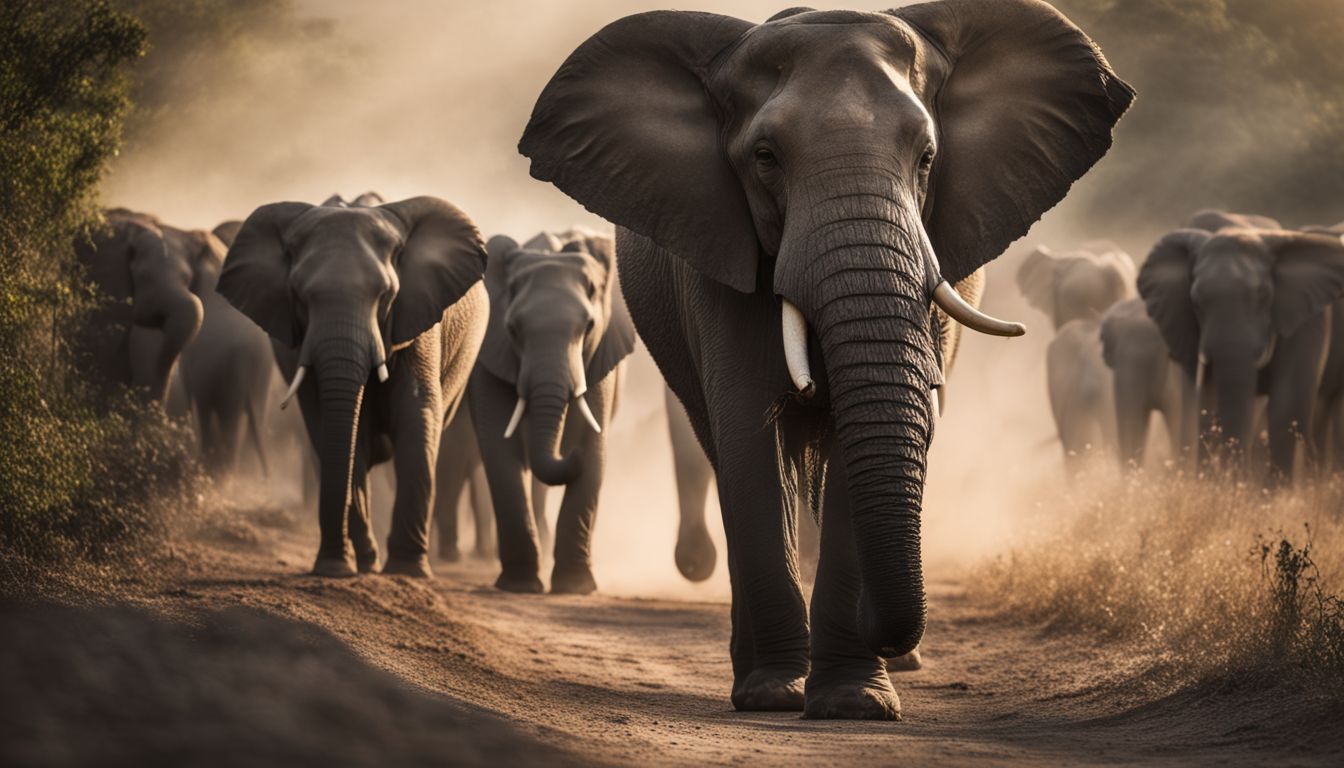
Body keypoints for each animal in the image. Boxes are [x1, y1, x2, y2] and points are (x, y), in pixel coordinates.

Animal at [217, 195, 489, 577]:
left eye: (386, 294)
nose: (330, 565)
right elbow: (339, 430)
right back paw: (366, 562)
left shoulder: (417, 322)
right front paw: (342, 567)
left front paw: (407, 571)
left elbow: (416, 415)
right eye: (298, 297)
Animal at [470, 229, 636, 594]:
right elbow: (500, 452)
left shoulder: (598, 361)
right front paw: (519, 587)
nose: (567, 452)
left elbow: (594, 450)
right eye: (513, 329)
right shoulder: (491, 350)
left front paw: (576, 588)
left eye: (589, 327)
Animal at [520, 1, 1131, 719]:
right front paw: (775, 693)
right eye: (765, 157)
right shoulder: (719, 255)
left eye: (928, 157)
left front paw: (855, 702)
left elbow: (860, 444)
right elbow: (748, 439)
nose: (886, 636)